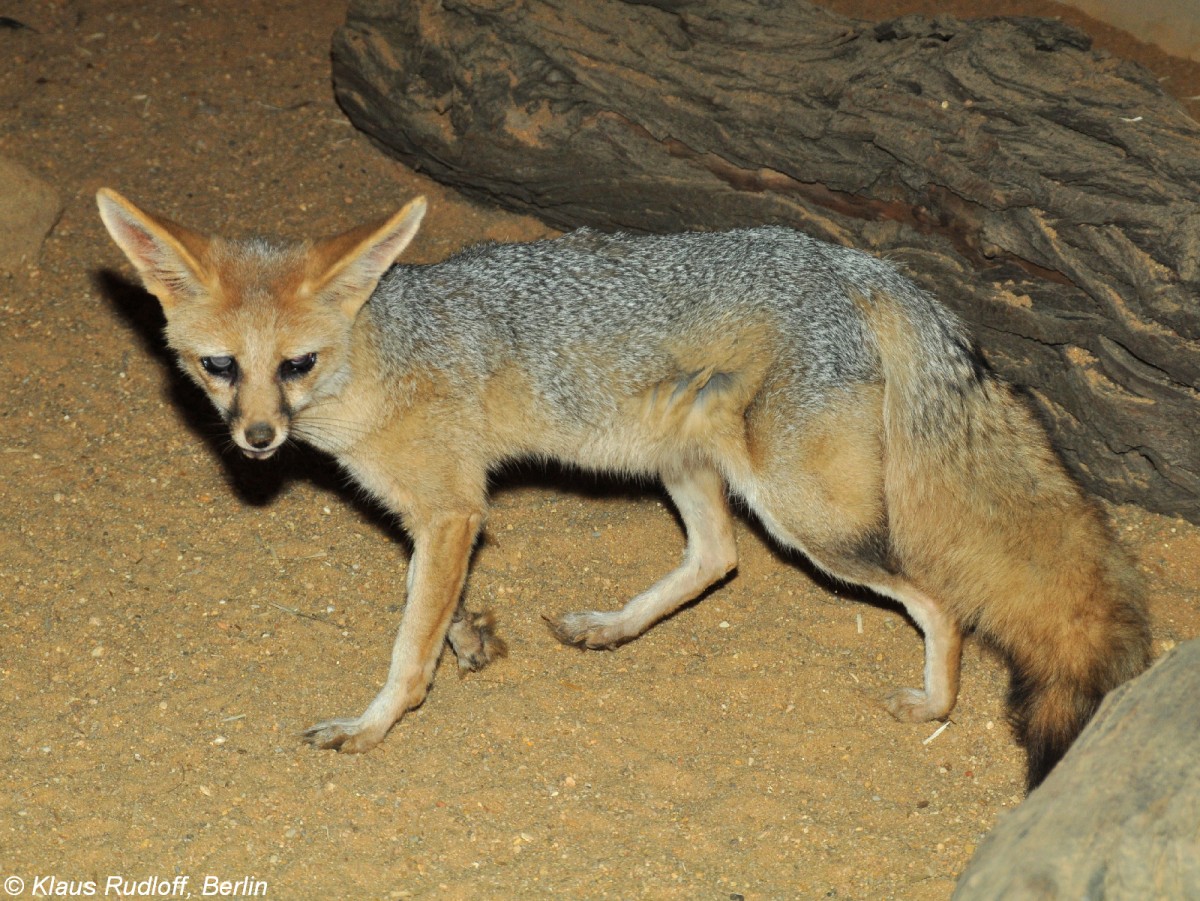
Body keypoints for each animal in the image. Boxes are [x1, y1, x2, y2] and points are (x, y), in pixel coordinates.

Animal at [96, 190, 1152, 787]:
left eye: (298, 364)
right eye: (220, 368)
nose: (259, 439)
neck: (380, 354)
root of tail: (843, 255)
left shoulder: (451, 508)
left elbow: (406, 645)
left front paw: (374, 722)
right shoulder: (441, 514)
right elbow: (438, 607)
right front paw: (473, 637)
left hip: (809, 520)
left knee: (936, 596)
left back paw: (933, 704)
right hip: (684, 467)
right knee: (718, 559)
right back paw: (607, 626)